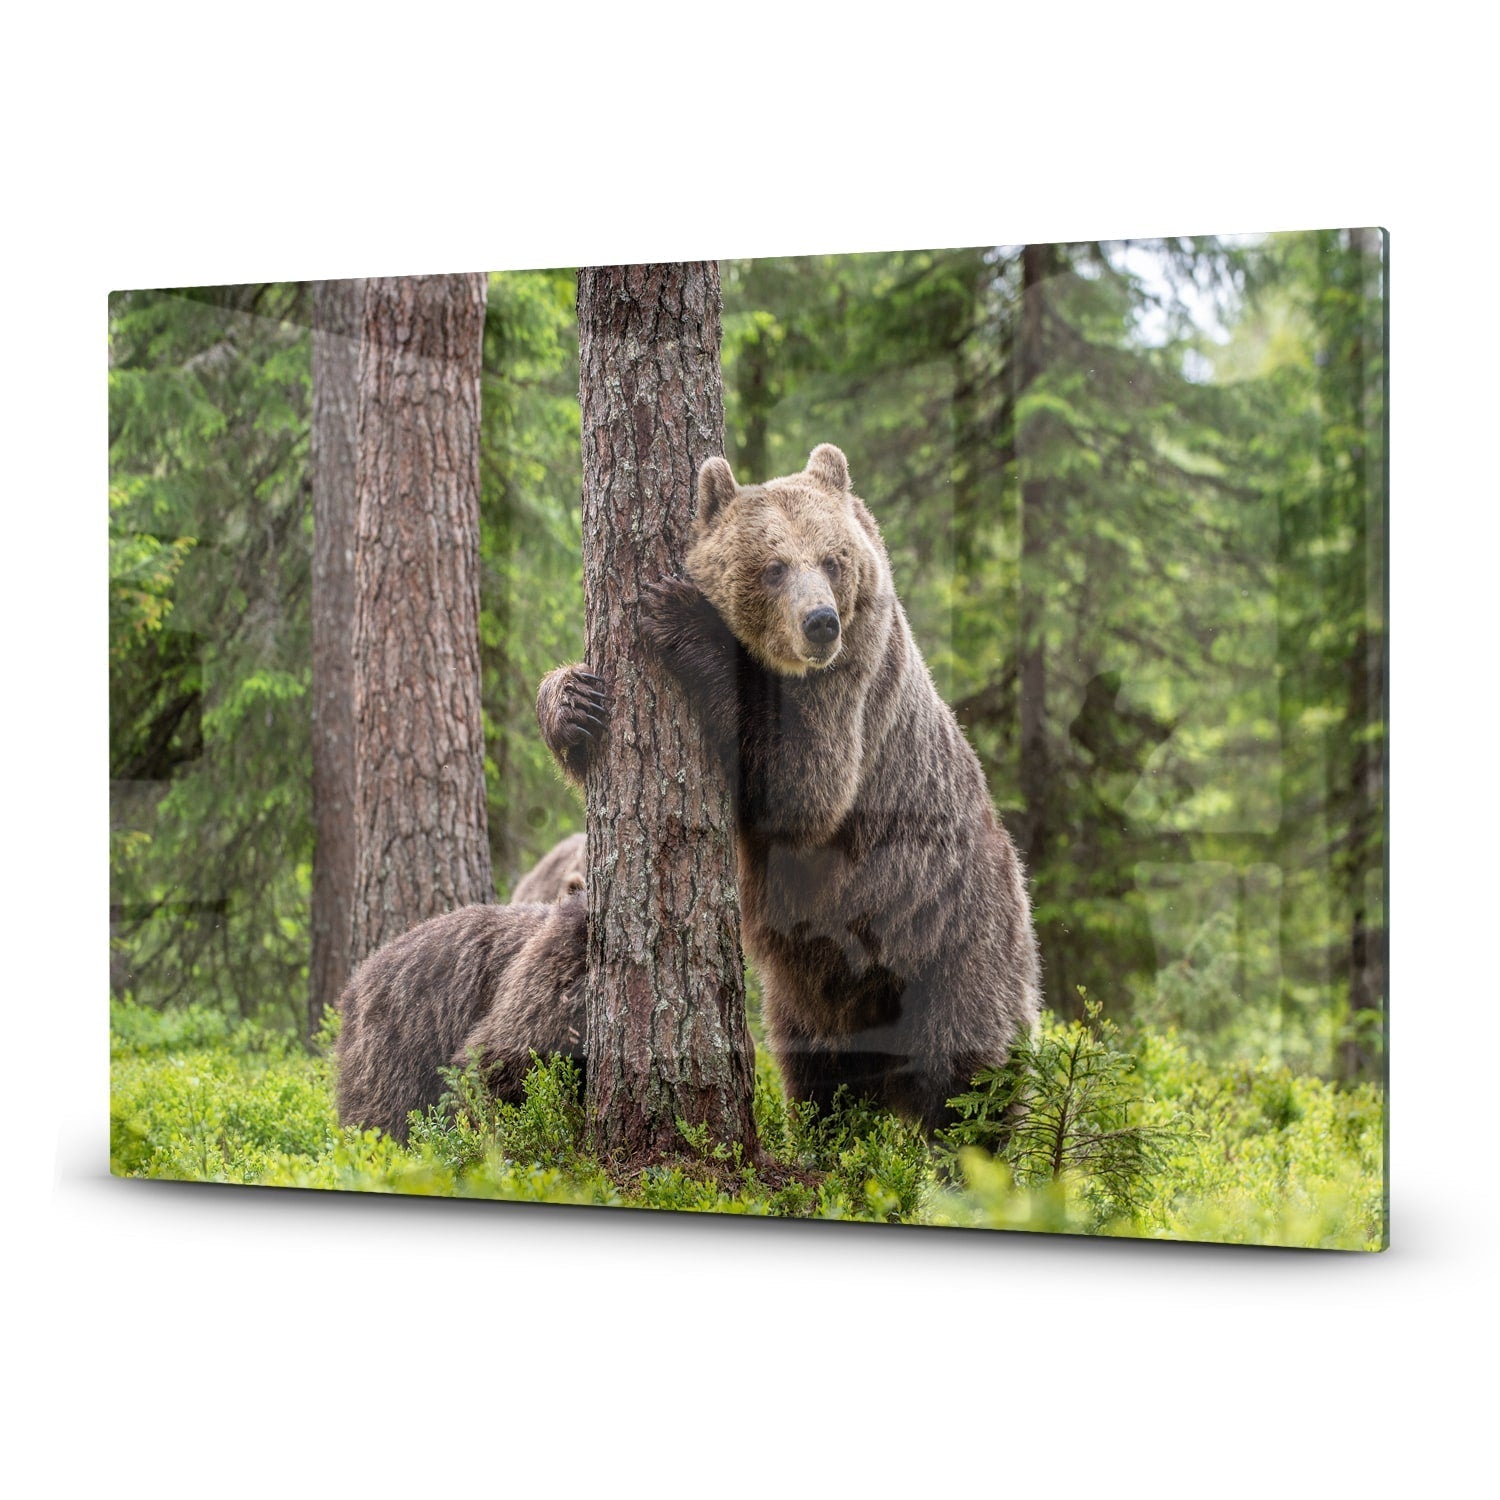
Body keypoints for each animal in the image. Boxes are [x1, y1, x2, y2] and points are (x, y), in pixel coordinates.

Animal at [540, 438, 1044, 1128]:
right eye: (773, 566)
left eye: (831, 559)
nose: (821, 621)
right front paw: (575, 704)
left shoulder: (853, 692)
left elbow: (803, 788)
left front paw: (681, 613)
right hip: (816, 989)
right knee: (822, 1072)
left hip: (954, 942)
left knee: (966, 1078)